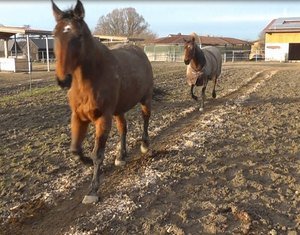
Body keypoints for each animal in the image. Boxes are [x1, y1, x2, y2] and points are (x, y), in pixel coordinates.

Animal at [51, 0, 154, 204]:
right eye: (55, 35)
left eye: (78, 36)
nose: (63, 80)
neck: (89, 78)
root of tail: (139, 51)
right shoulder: (78, 117)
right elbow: (75, 150)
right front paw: (87, 163)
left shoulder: (103, 118)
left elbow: (97, 153)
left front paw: (93, 190)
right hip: (119, 109)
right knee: (123, 128)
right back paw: (121, 156)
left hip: (145, 99)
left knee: (145, 119)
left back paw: (145, 145)